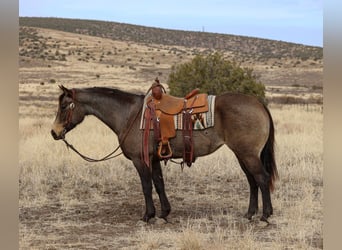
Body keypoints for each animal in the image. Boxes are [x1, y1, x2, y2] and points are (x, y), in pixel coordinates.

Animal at [52, 84, 280, 223]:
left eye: (64, 106)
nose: (54, 132)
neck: (129, 115)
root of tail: (258, 103)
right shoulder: (154, 159)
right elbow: (159, 184)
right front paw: (164, 213)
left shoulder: (140, 160)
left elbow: (146, 186)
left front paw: (148, 215)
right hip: (242, 155)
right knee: (252, 181)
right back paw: (249, 214)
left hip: (248, 154)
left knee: (261, 178)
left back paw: (265, 215)